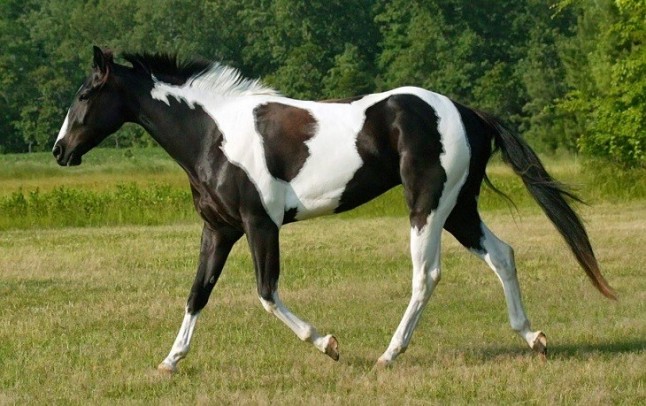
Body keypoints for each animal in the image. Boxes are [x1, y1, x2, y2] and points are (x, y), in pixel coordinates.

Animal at [53, 46, 615, 373]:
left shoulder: (260, 225)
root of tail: (466, 111)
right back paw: (534, 338)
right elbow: (197, 294)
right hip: (460, 208)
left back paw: (389, 354)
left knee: (427, 274)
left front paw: (328, 344)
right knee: (502, 255)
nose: (60, 151)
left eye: (85, 93)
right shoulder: (219, 230)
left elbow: (266, 293)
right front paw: (170, 361)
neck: (214, 135)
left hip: (428, 205)